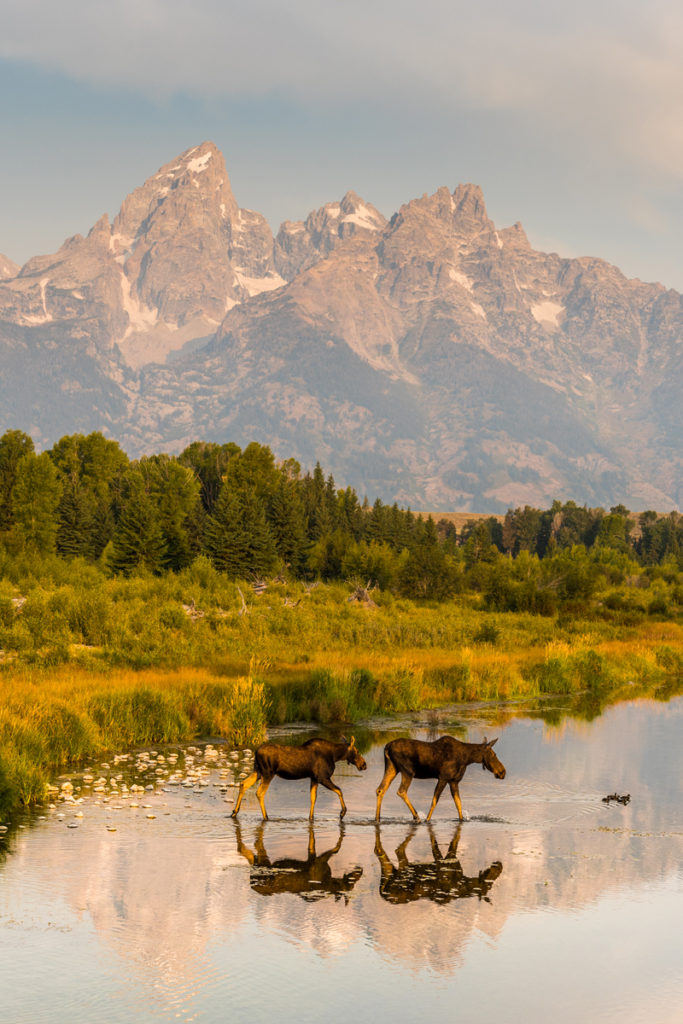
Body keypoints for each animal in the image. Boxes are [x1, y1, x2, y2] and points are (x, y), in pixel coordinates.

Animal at [231, 736, 367, 820]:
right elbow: (339, 790)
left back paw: (234, 812)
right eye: (357, 750)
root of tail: (256, 752)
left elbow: (313, 799)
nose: (364, 764)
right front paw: (342, 812)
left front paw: (311, 818)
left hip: (258, 771)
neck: (335, 755)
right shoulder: (323, 777)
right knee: (259, 793)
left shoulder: (314, 778)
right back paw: (266, 817)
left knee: (243, 783)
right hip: (268, 773)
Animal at [375, 735, 506, 822]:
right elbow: (435, 800)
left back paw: (377, 818)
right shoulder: (443, 777)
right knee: (401, 791)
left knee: (380, 789)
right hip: (408, 771)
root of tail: (387, 747)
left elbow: (458, 803)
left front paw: (461, 819)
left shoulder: (454, 781)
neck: (467, 758)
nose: (502, 772)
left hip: (392, 768)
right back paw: (417, 817)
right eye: (493, 754)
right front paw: (427, 820)